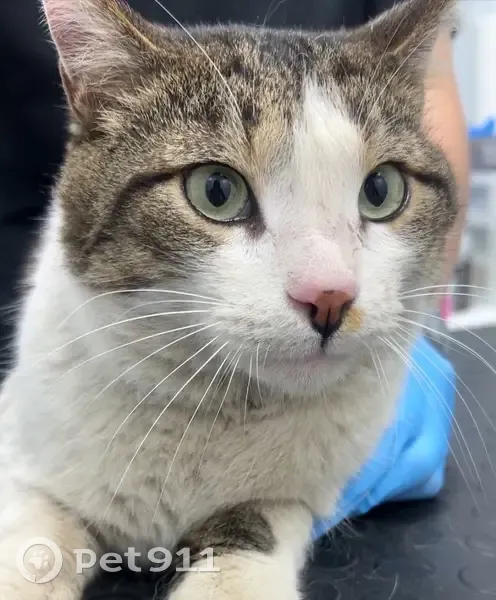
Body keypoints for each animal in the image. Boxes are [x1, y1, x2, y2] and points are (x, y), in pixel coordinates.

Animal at [0, 0, 457, 598]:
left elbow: (251, 526)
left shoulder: (291, 495)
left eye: (381, 190)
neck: (208, 408)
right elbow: (32, 541)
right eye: (217, 190)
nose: (330, 295)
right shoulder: (26, 456)